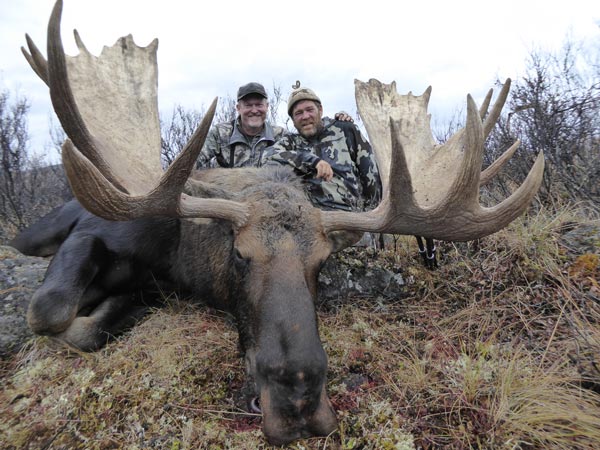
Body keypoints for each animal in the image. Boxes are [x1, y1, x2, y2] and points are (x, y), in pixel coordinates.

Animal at [10, 0, 544, 444]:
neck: (180, 256)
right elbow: (49, 310)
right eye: (238, 254)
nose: (299, 405)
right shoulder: (93, 231)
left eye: (322, 262)